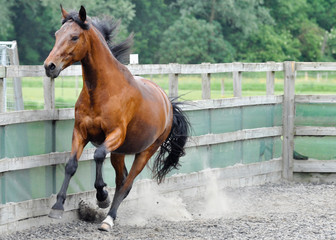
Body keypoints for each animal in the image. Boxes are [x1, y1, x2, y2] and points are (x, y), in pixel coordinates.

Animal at [43, 5, 189, 231]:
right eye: (57, 35)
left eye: (74, 37)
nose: (49, 66)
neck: (103, 91)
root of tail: (167, 104)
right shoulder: (80, 132)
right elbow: (71, 165)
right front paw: (57, 207)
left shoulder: (115, 134)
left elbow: (97, 156)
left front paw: (102, 195)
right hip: (119, 153)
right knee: (122, 180)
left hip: (145, 151)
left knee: (127, 184)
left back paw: (108, 219)